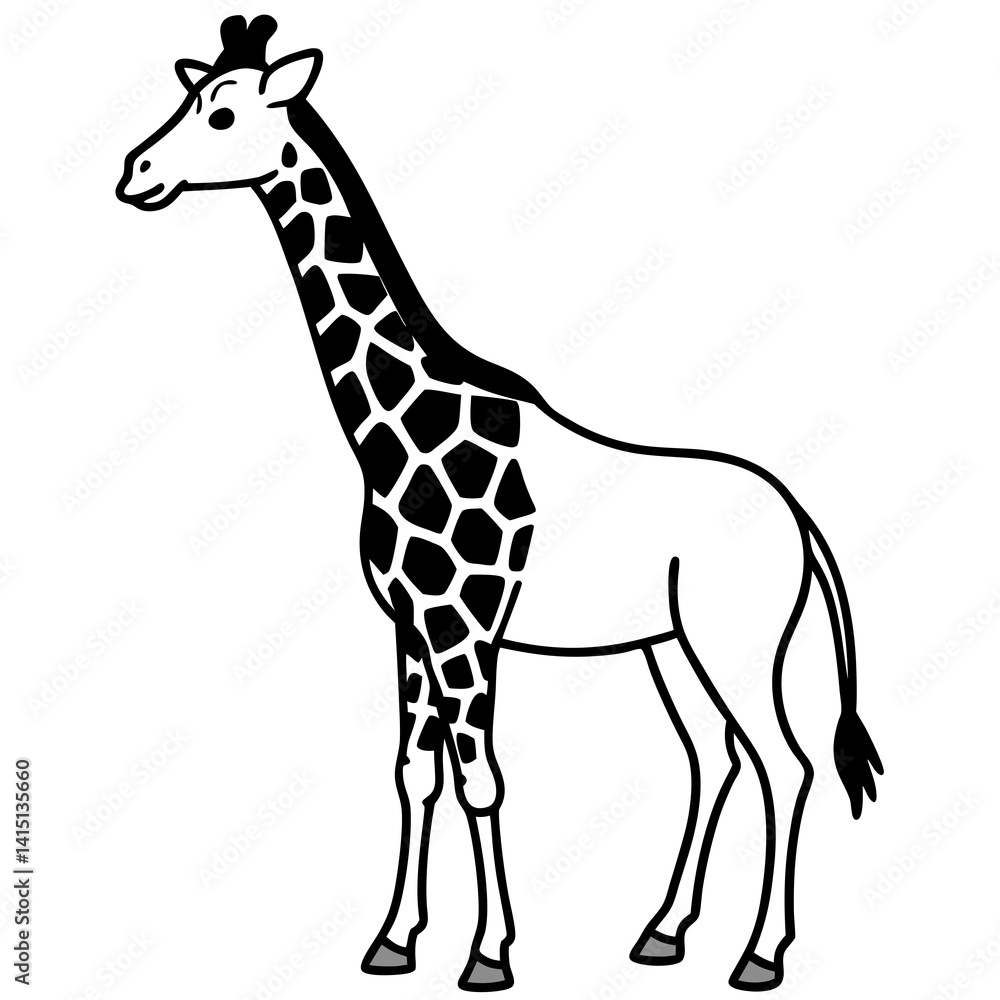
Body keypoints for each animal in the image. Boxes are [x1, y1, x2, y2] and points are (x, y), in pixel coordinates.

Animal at [116, 16, 882, 993]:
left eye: (222, 112)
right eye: (189, 96)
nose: (135, 171)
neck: (395, 429)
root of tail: (797, 515)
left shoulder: (465, 626)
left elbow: (483, 779)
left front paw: (487, 955)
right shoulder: (410, 624)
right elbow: (415, 772)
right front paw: (393, 941)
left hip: (737, 637)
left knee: (785, 766)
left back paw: (758, 957)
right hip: (670, 647)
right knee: (715, 762)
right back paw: (662, 933)